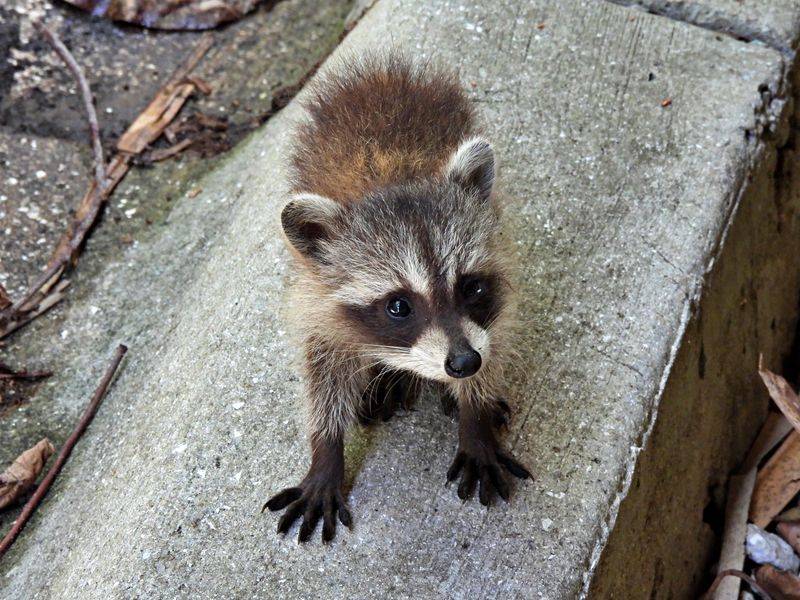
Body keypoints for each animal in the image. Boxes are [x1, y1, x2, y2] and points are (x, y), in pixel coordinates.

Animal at [263, 55, 530, 542]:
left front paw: (475, 414)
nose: (463, 363)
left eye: (471, 288)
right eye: (399, 307)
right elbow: (321, 373)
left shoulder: (496, 296)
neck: (391, 178)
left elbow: (495, 340)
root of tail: (381, 71)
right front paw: (325, 452)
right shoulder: (315, 295)